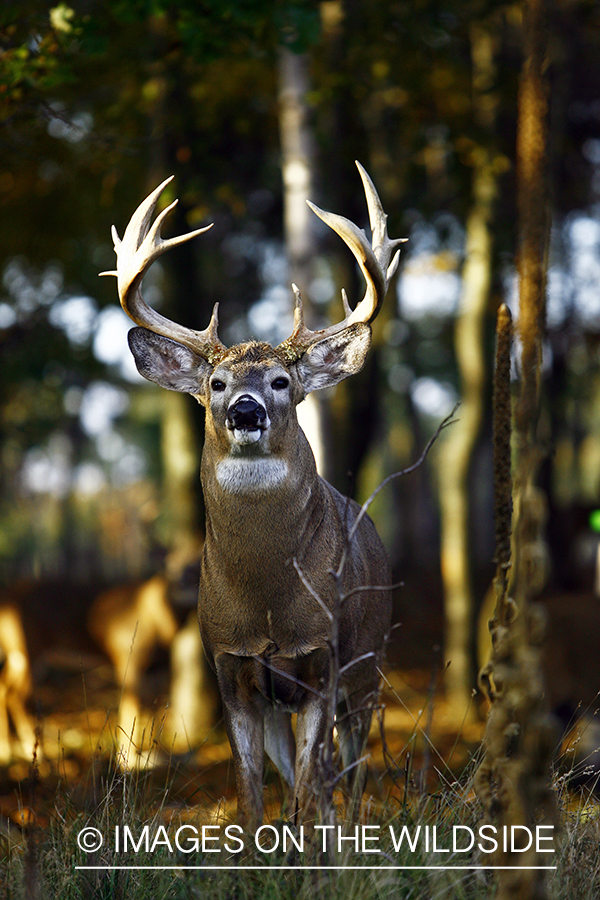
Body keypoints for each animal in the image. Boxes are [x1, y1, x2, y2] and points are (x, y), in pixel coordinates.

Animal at [103, 162, 404, 824]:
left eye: (282, 380)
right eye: (215, 382)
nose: (246, 410)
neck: (267, 601)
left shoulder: (322, 659)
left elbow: (315, 788)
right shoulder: (231, 666)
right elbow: (250, 791)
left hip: (369, 666)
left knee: (350, 777)